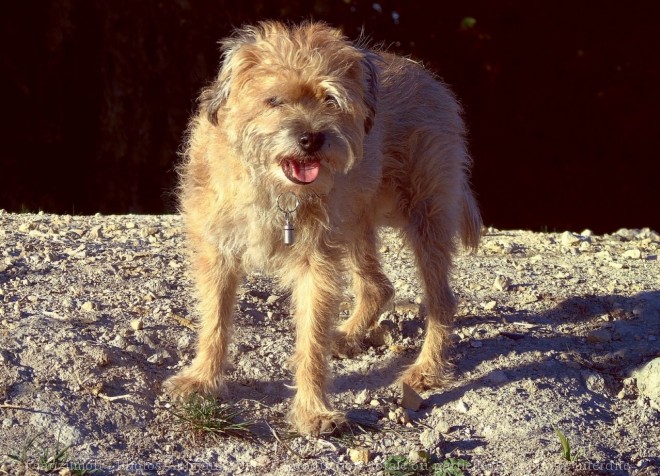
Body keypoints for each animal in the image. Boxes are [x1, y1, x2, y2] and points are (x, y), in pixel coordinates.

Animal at [164, 21, 480, 436]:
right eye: (274, 100)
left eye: (332, 100)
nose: (311, 138)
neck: (276, 191)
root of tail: (429, 79)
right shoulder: (218, 253)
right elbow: (214, 321)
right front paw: (202, 378)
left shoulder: (316, 265)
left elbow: (311, 339)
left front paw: (313, 410)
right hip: (356, 221)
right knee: (378, 286)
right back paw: (347, 335)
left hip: (425, 217)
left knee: (441, 299)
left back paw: (425, 369)